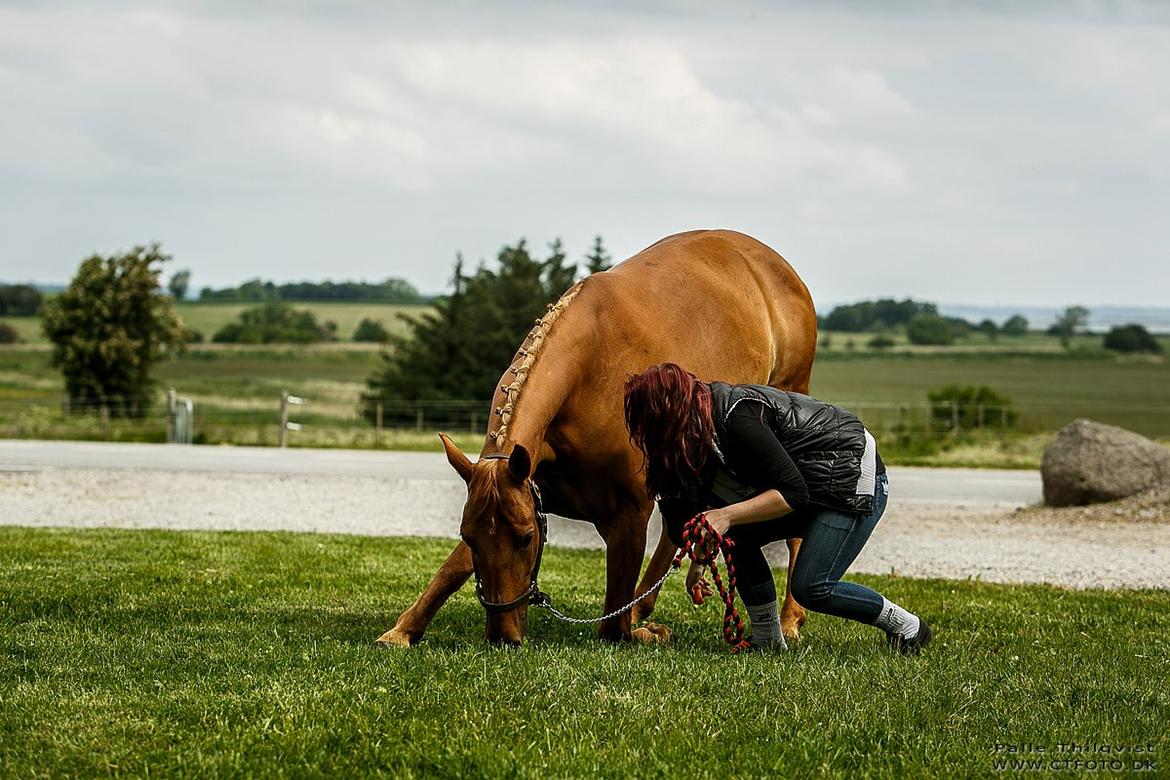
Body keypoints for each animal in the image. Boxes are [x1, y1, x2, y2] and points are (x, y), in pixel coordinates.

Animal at [374, 230, 814, 645]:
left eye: (527, 538)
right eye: (469, 535)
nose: (503, 637)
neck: (588, 373)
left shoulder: (629, 515)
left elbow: (613, 626)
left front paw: (645, 630)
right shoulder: (521, 488)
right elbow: (453, 567)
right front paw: (403, 630)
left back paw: (789, 618)